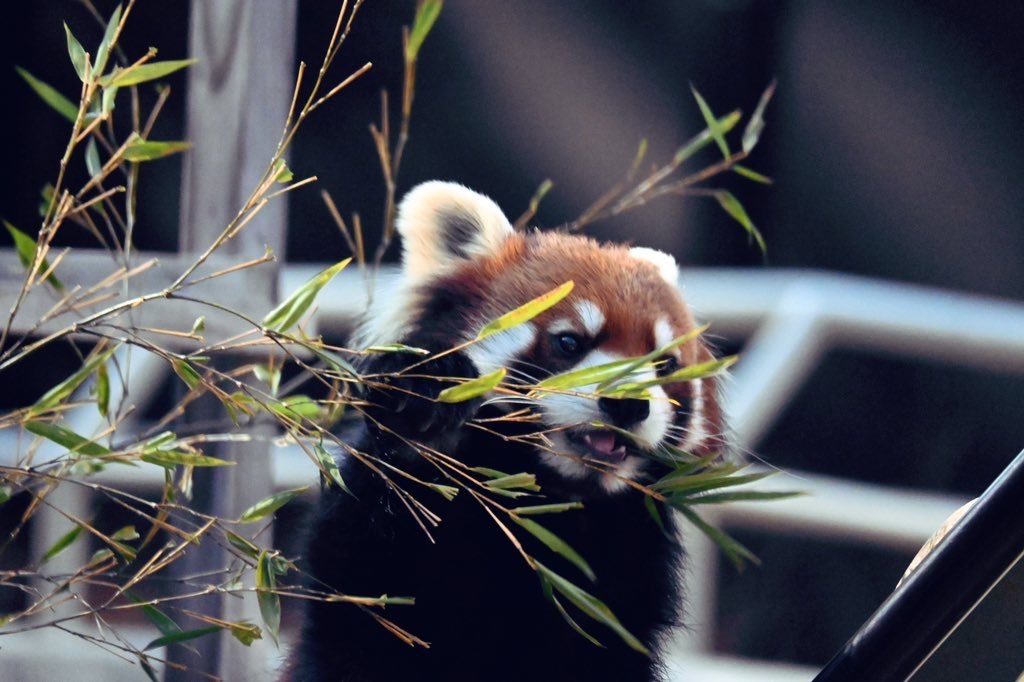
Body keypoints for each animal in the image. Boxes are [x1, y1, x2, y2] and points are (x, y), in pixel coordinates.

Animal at [284, 180, 724, 679]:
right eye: (568, 342)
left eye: (664, 364)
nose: (628, 403)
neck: (548, 502)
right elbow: (358, 582)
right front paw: (423, 414)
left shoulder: (626, 580)